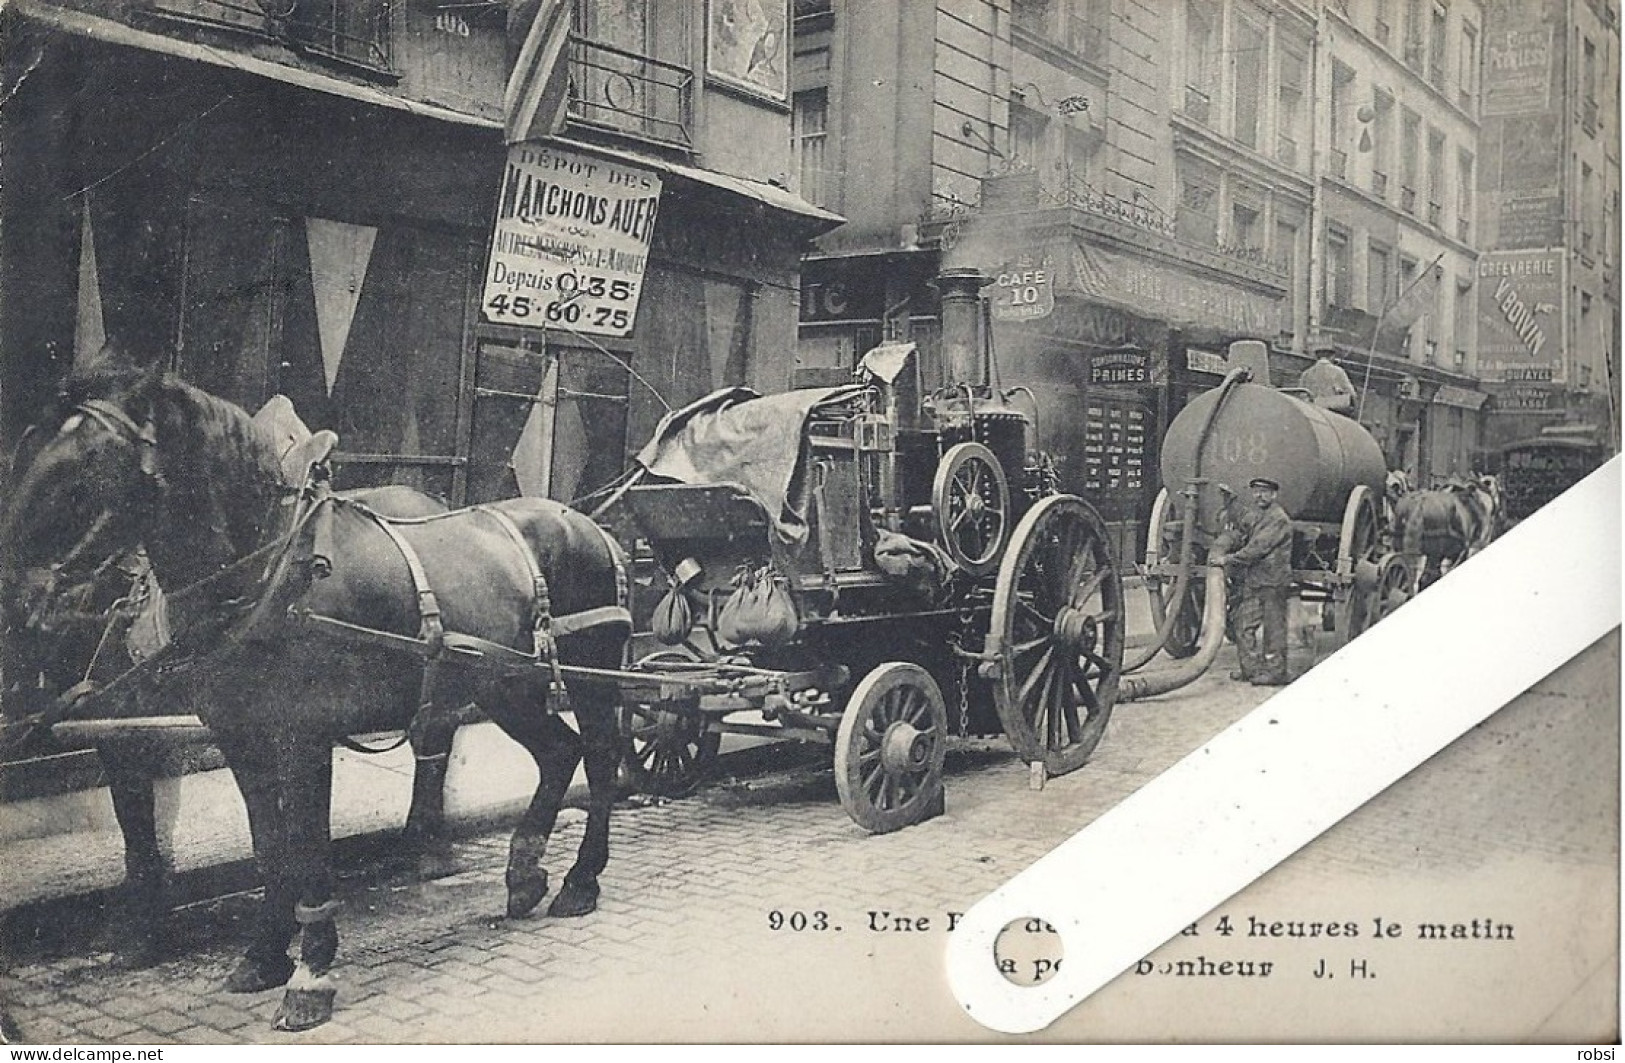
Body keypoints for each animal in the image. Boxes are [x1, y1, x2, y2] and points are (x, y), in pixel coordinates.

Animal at [1, 364, 627, 1033]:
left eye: (89, 464)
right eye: (28, 448)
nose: (16, 597)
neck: (273, 570)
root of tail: (591, 526)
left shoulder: (304, 732)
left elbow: (306, 843)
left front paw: (312, 973)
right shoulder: (240, 734)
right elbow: (269, 844)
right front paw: (263, 956)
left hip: (591, 675)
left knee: (601, 756)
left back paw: (580, 882)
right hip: (504, 685)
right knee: (559, 753)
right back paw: (524, 873)